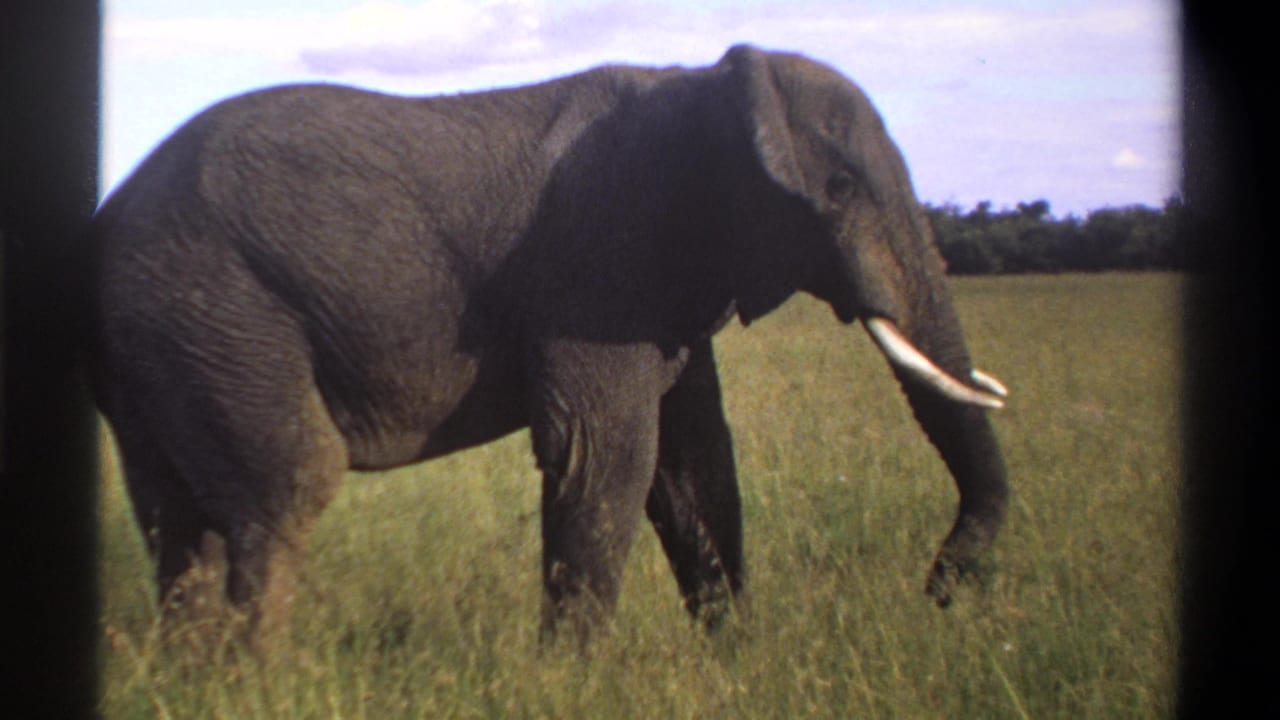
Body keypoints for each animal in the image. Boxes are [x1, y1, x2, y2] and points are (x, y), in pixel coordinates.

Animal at [90, 44, 1009, 648]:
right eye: (841, 187)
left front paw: (736, 661)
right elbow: (606, 454)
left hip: (165, 341)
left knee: (178, 515)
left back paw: (194, 678)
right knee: (286, 487)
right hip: (214, 308)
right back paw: (264, 681)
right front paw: (574, 680)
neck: (701, 86)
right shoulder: (600, 257)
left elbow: (695, 464)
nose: (940, 591)